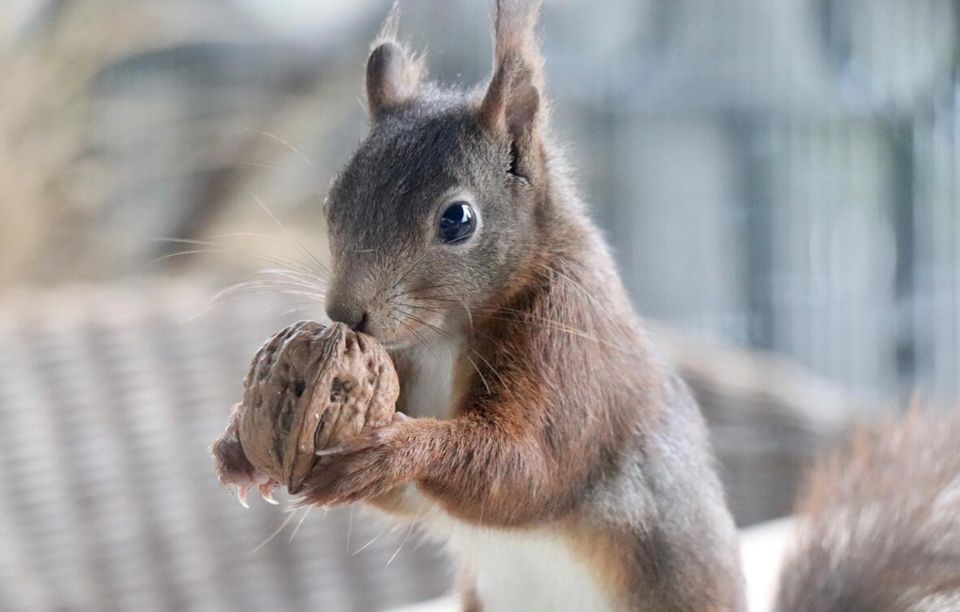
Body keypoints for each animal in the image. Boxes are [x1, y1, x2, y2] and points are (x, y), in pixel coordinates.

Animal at [295, 1, 746, 610]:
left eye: (458, 219)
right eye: (331, 203)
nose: (345, 315)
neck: (442, 339)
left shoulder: (570, 349)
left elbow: (528, 470)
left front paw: (396, 449)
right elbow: (413, 499)